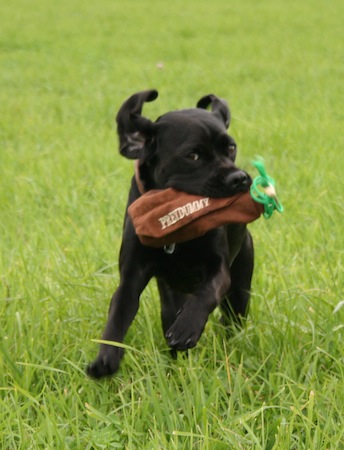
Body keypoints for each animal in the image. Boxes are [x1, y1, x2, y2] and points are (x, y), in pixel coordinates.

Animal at [87, 89, 254, 378]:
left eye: (231, 148)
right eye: (193, 156)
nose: (240, 178)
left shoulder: (219, 269)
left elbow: (207, 292)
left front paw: (187, 327)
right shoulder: (131, 277)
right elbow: (117, 316)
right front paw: (105, 358)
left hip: (240, 290)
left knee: (231, 322)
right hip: (169, 300)